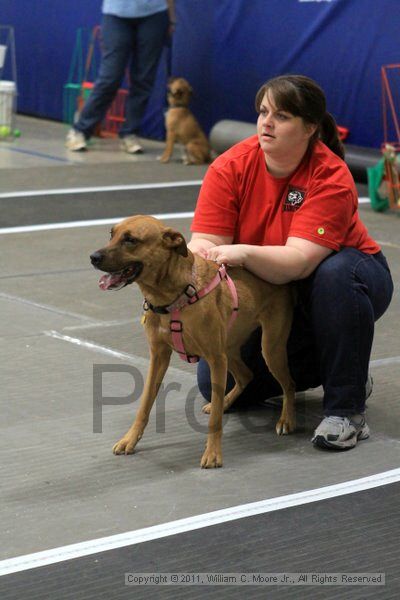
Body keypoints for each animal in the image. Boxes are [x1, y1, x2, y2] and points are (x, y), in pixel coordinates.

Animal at [91, 216, 296, 468]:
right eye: (112, 234)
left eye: (130, 240)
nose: (93, 257)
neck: (172, 297)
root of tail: (282, 282)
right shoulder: (159, 356)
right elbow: (145, 404)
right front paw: (130, 439)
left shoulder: (216, 359)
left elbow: (215, 421)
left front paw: (213, 453)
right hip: (229, 349)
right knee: (246, 376)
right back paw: (226, 402)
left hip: (269, 349)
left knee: (289, 384)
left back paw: (286, 419)